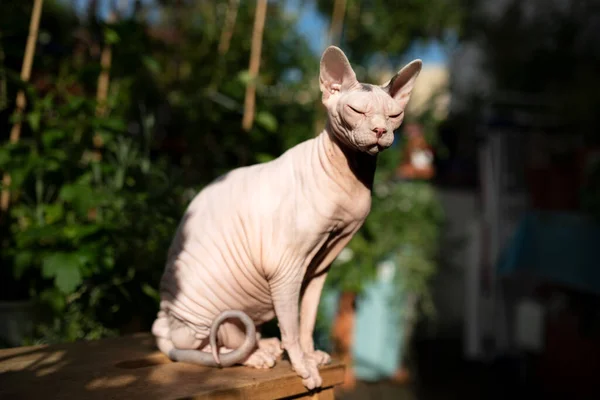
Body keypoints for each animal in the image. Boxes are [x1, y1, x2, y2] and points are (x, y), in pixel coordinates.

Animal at [150, 45, 422, 390]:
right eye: (356, 111)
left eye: (394, 116)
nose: (380, 131)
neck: (350, 177)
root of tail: (162, 318)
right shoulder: (285, 268)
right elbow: (291, 324)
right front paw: (303, 366)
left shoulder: (320, 267)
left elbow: (306, 319)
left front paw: (309, 354)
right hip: (202, 303)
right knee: (204, 343)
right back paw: (256, 355)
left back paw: (263, 344)